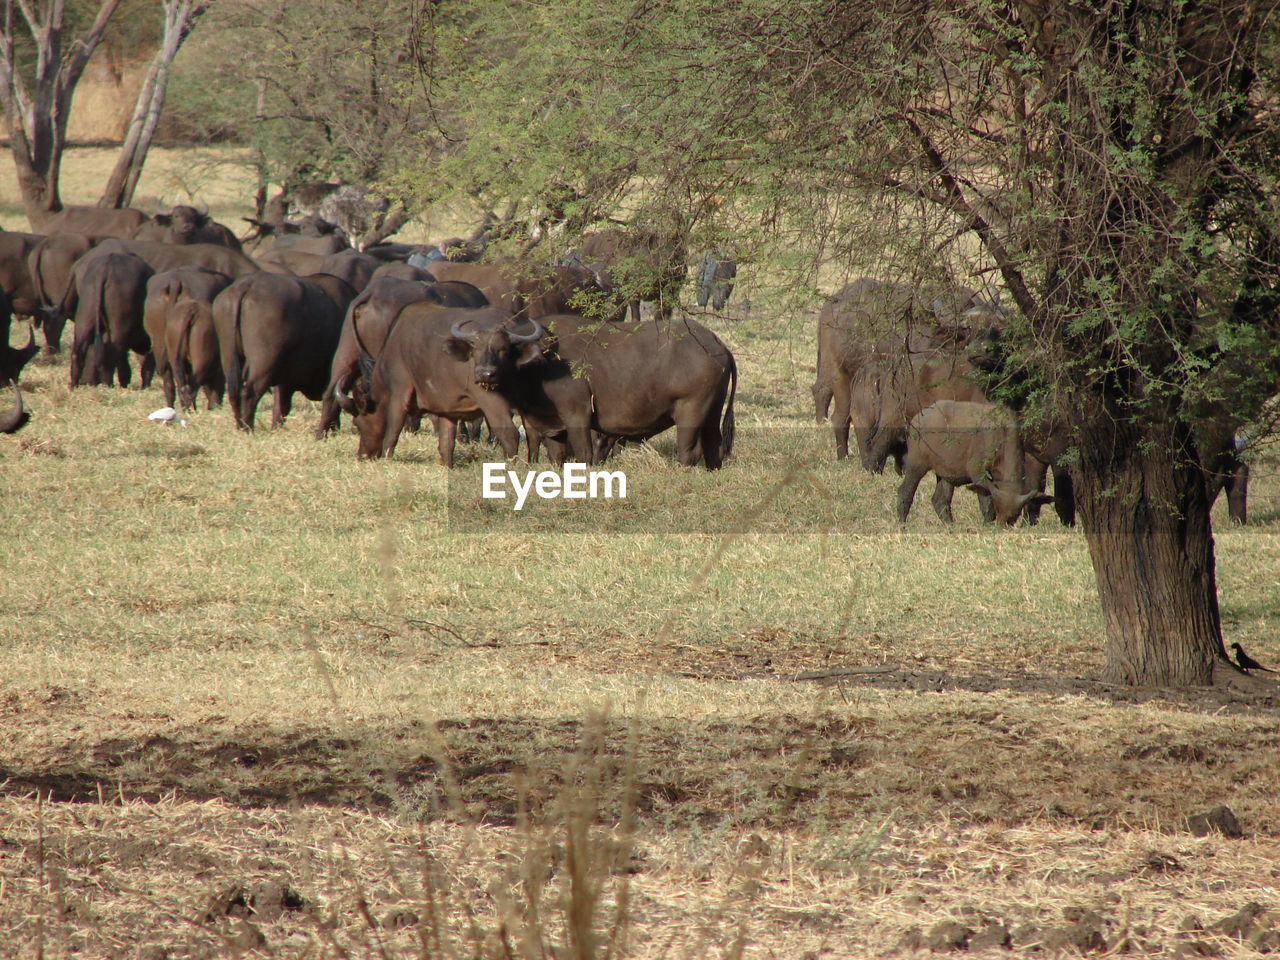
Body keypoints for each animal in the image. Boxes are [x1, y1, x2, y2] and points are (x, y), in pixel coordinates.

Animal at [68, 256, 152, 391]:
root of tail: (105, 270)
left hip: (84, 320)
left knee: (78, 352)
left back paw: (73, 385)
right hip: (118, 329)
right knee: (113, 354)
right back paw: (110, 384)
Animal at [212, 273, 355, 432]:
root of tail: (246, 285)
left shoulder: (284, 381)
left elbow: (280, 407)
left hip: (229, 357)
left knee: (234, 393)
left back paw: (240, 425)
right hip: (264, 363)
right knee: (249, 392)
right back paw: (248, 428)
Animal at [335, 304, 529, 463]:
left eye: (358, 424)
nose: (362, 456)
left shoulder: (399, 393)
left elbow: (392, 432)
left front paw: (386, 459)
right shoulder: (447, 409)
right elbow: (446, 442)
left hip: (492, 400)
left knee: (509, 434)